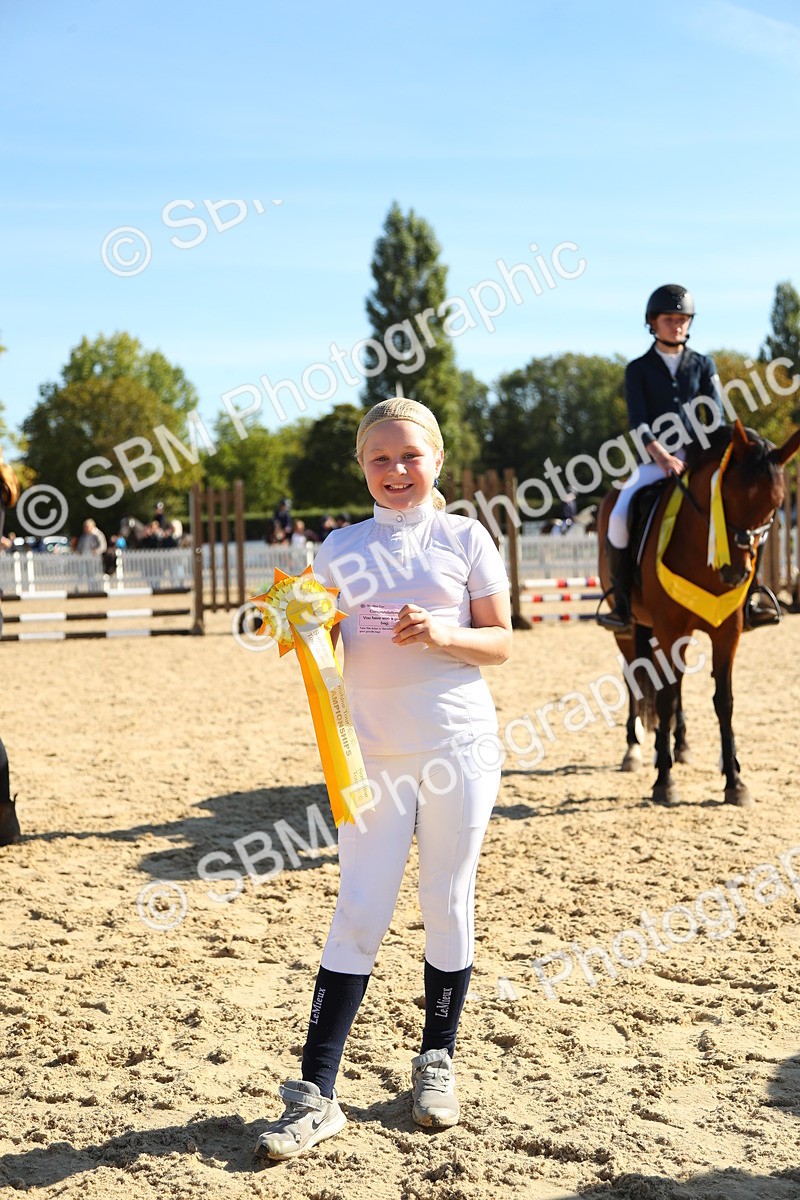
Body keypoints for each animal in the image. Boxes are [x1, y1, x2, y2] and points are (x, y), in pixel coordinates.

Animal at [597, 419, 800, 807]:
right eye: (727, 495)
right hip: (628, 628)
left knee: (675, 684)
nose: (735, 574)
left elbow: (723, 701)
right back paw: (635, 750)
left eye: (775, 505)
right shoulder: (669, 626)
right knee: (635, 677)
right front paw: (664, 781)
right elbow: (662, 697)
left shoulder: (727, 631)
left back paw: (681, 745)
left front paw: (734, 781)